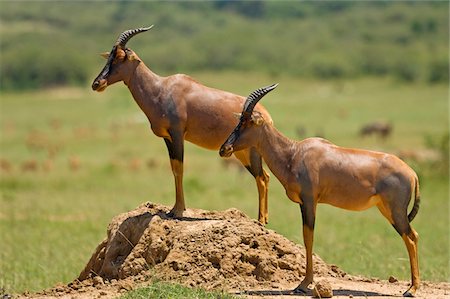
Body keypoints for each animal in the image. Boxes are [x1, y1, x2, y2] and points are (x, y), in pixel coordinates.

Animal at [92, 27, 270, 224]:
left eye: (121, 56)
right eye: (109, 56)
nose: (97, 84)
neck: (162, 88)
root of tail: (266, 116)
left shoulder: (177, 135)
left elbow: (179, 169)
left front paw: (177, 211)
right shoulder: (168, 138)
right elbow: (174, 169)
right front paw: (175, 209)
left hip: (251, 151)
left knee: (261, 178)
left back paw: (262, 221)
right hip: (241, 152)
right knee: (265, 176)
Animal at [221, 84, 422, 298]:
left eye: (247, 122)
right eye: (239, 120)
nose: (224, 149)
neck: (294, 153)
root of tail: (412, 173)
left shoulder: (309, 201)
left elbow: (308, 238)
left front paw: (303, 284)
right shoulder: (306, 203)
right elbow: (307, 237)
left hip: (396, 211)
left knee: (411, 237)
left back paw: (412, 289)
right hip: (386, 210)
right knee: (412, 236)